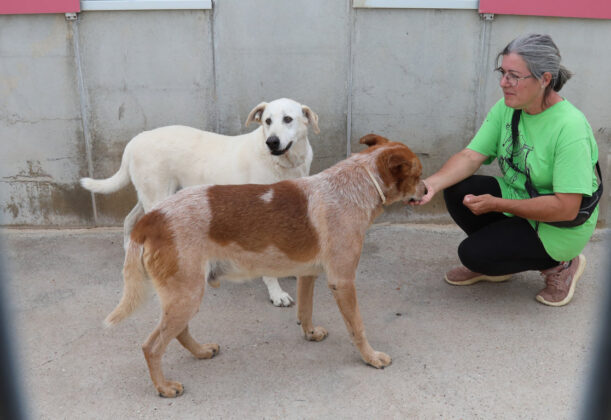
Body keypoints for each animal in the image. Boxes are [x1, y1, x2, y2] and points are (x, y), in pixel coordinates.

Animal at [81, 97, 320, 306]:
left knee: (130, 219)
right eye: (268, 121)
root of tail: (135, 140)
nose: (272, 142)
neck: (284, 163)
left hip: (153, 195)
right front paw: (276, 293)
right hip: (157, 196)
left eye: (288, 119)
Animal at [104, 135, 426, 398]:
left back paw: (201, 351)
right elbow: (357, 327)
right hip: (187, 294)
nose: (426, 189)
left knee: (177, 332)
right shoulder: (343, 281)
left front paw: (309, 333)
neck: (354, 186)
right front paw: (371, 357)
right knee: (151, 345)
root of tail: (152, 219)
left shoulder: (308, 273)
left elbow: (305, 310)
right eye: (419, 173)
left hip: (184, 294)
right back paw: (164, 387)